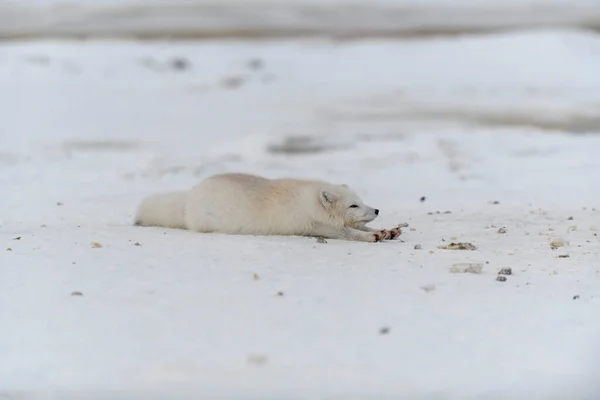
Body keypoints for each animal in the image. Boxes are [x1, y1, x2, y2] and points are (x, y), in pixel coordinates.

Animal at [134, 173, 400, 242]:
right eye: (354, 205)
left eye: (362, 201)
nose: (376, 210)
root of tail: (190, 196)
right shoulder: (315, 226)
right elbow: (351, 233)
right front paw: (373, 236)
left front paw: (389, 230)